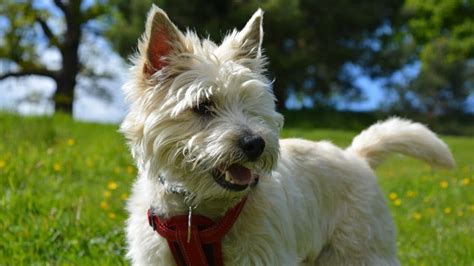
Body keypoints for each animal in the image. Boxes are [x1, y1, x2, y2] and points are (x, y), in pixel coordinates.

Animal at [120, 5, 454, 264]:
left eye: (252, 104)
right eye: (203, 105)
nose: (255, 144)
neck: (197, 214)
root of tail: (355, 156)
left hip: (358, 251)